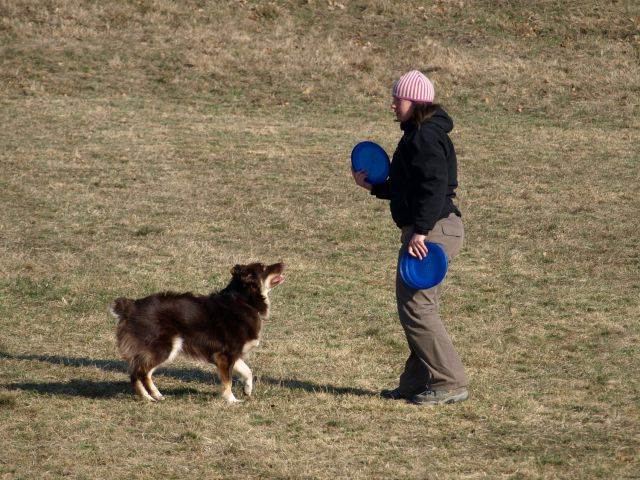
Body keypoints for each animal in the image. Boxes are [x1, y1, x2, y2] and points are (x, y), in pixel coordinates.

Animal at [109, 262, 284, 402]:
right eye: (265, 268)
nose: (282, 263)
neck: (244, 301)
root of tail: (131, 307)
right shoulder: (225, 355)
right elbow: (228, 381)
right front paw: (231, 400)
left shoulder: (228, 354)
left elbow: (247, 371)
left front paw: (247, 389)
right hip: (166, 347)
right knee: (140, 372)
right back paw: (149, 397)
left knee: (139, 373)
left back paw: (154, 396)